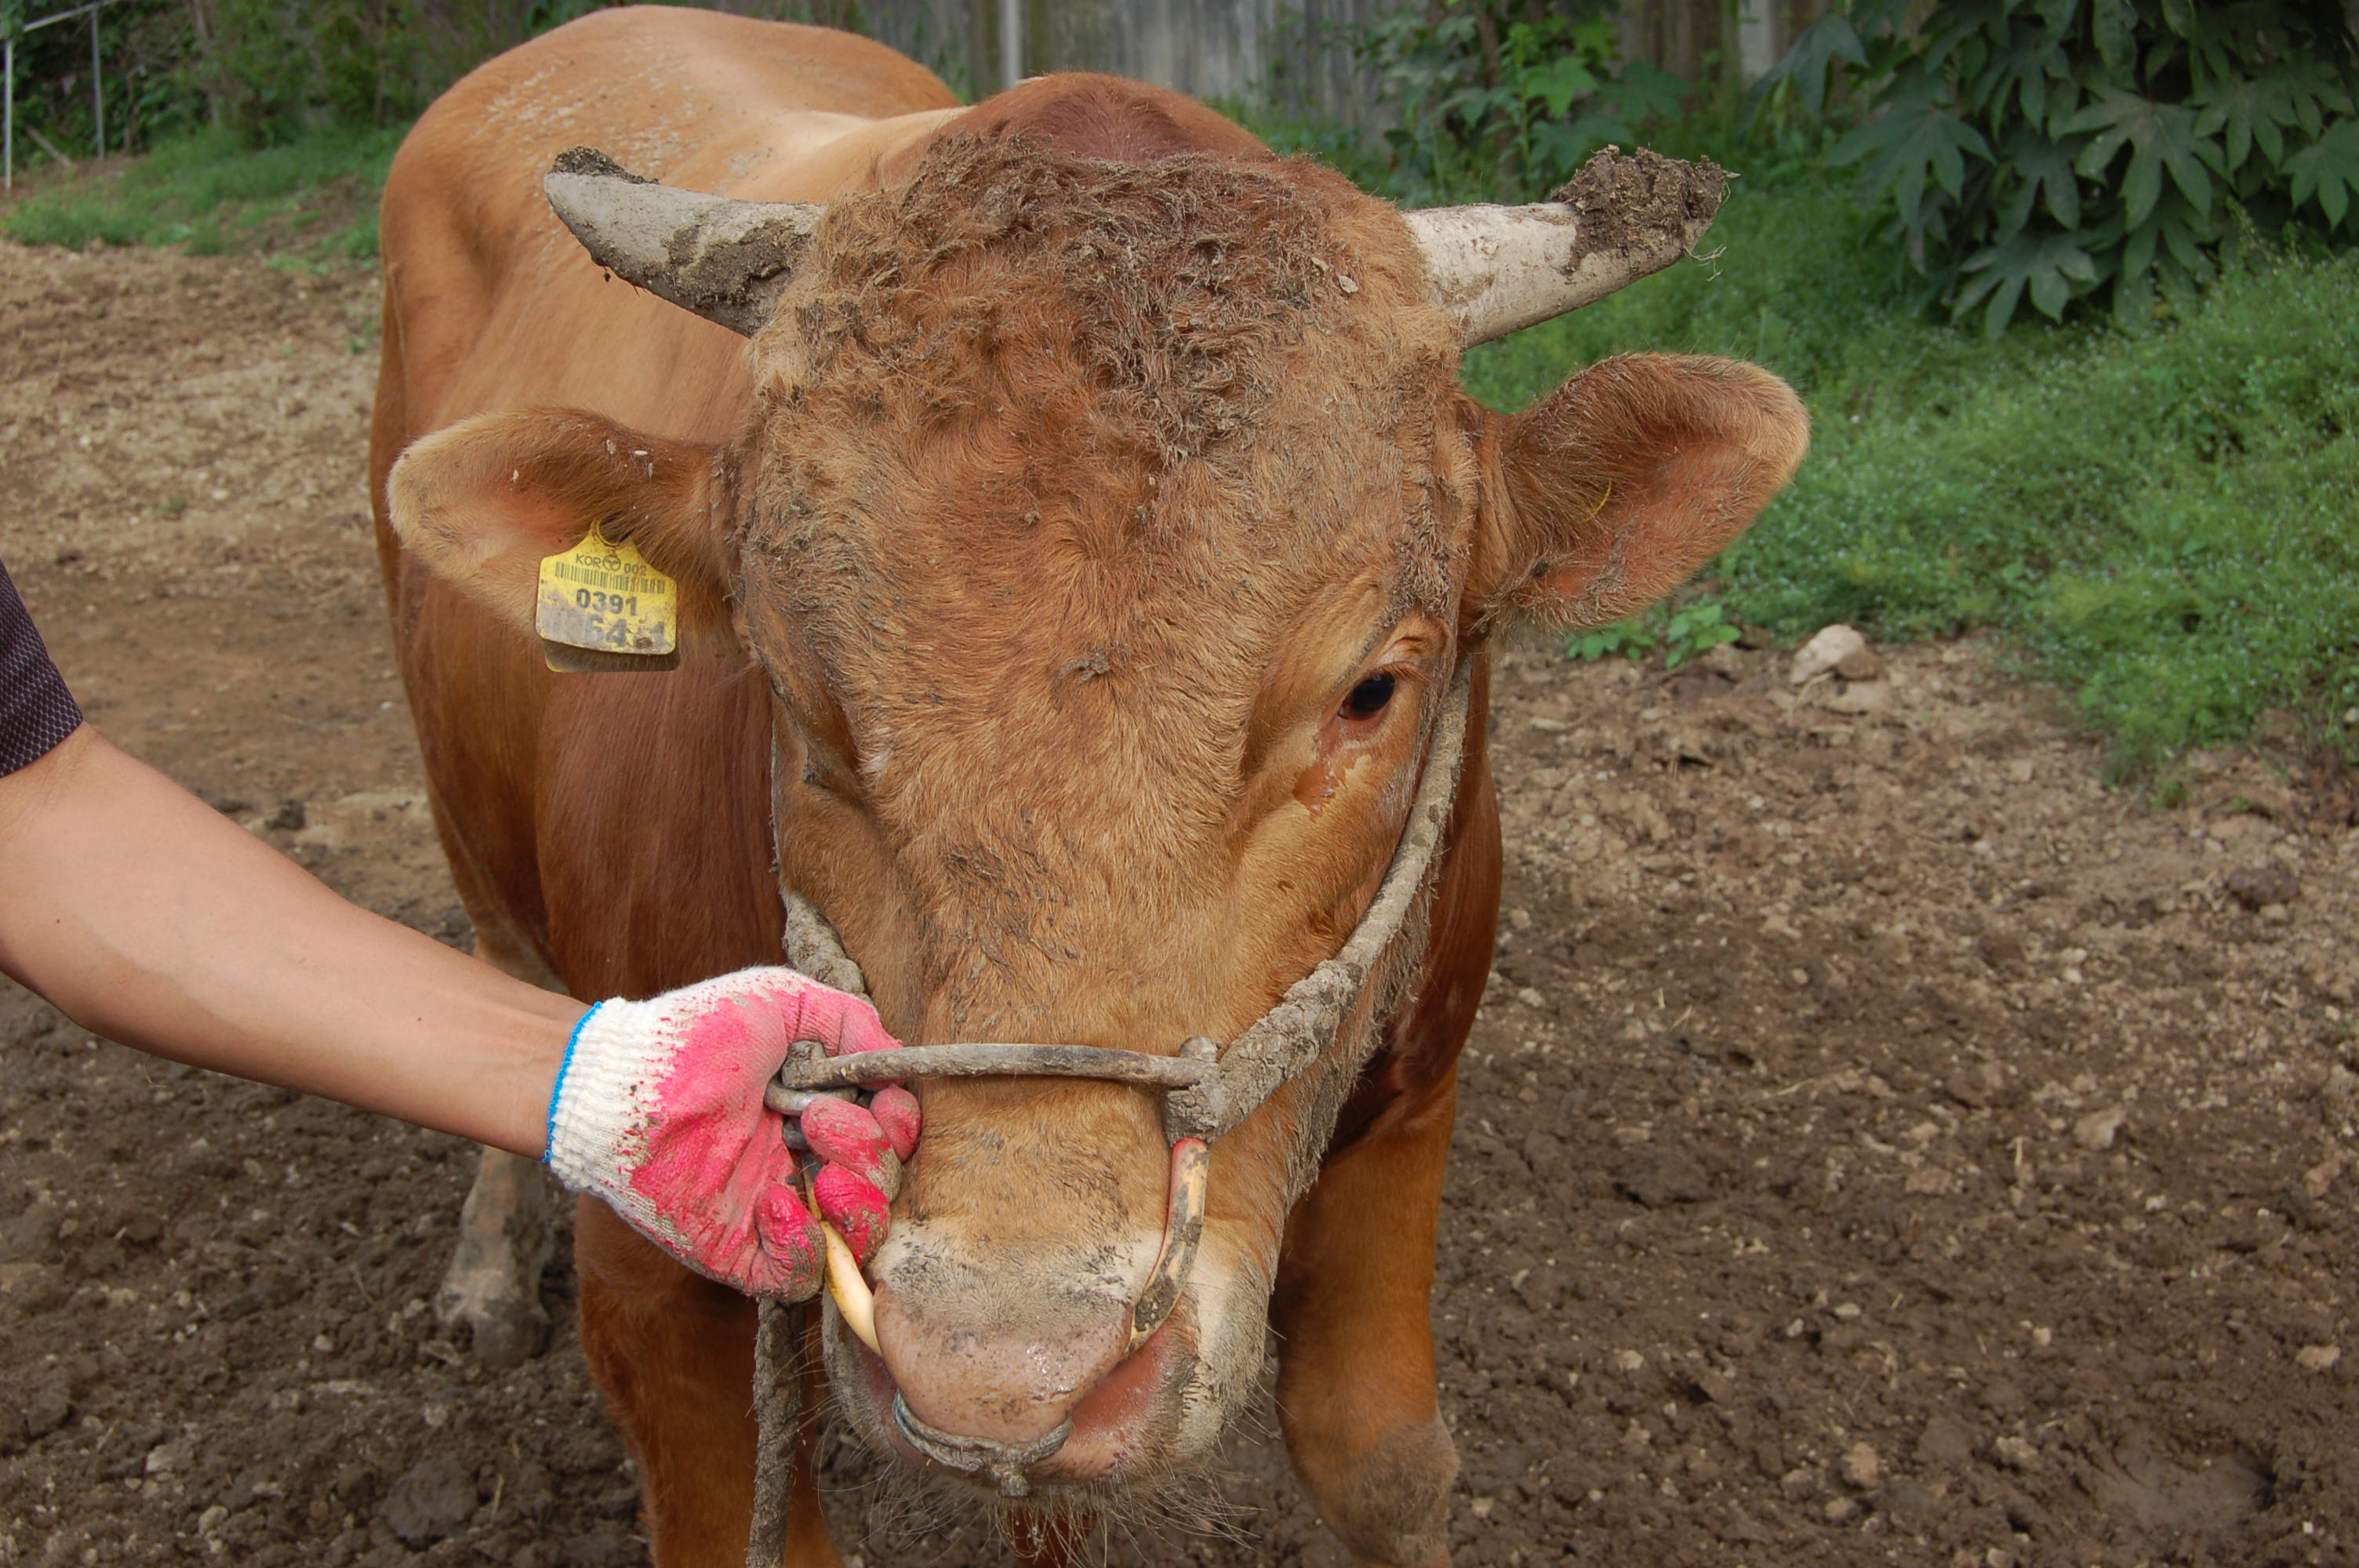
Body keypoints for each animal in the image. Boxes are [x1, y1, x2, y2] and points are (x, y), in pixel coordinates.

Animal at [373, 9, 1802, 1555]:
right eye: (798, 698)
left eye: (1370, 691)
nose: (1002, 1361)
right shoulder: (656, 1302)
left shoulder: (1412, 1109)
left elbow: (1381, 1461)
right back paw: (481, 1269)